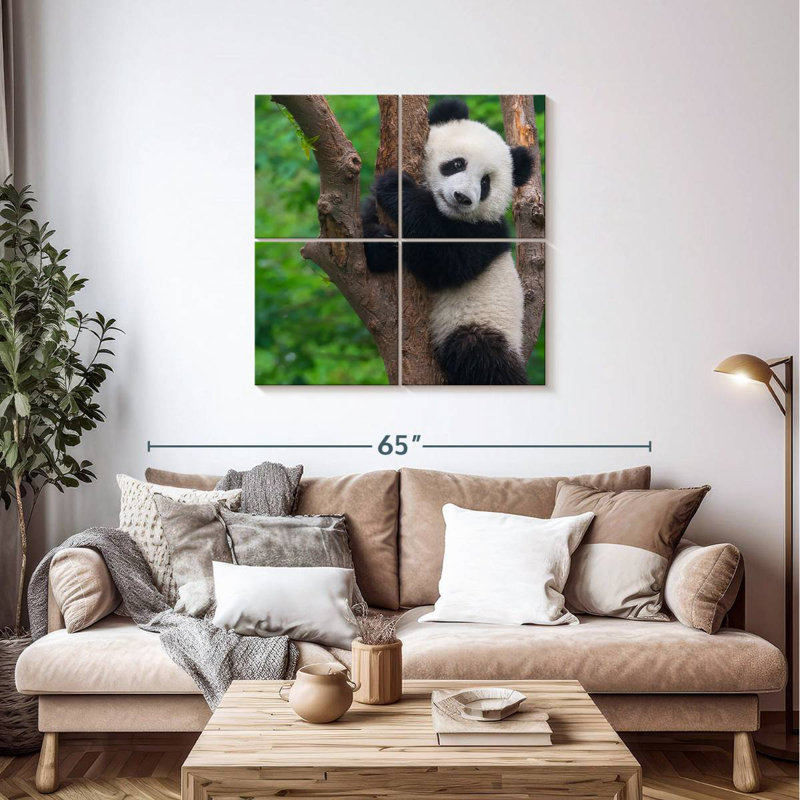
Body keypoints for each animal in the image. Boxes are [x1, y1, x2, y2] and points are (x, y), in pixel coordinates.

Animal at [361, 98, 534, 385]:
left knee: (481, 356)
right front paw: (381, 245)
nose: (462, 197)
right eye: (457, 164)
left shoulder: (487, 232)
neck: (445, 213)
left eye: (485, 183)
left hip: (482, 322)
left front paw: (397, 188)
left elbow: (448, 260)